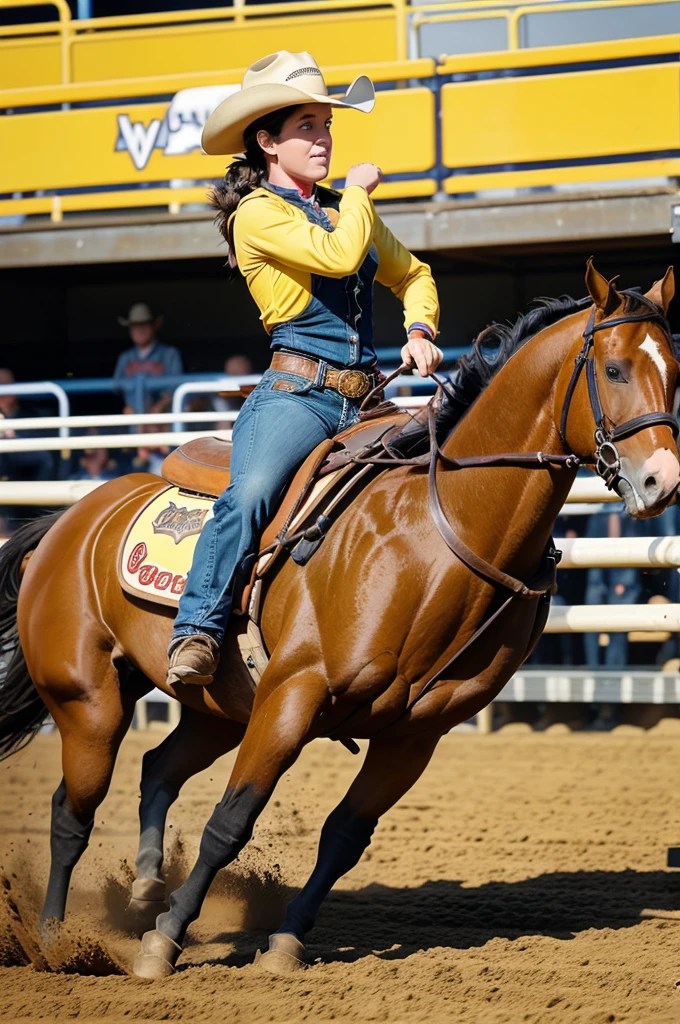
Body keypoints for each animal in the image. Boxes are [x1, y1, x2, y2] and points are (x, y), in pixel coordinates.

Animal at [0, 262, 675, 974]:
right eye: (616, 369)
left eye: (676, 370)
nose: (662, 480)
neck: (441, 534)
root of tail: (66, 523)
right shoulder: (293, 694)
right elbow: (229, 823)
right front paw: (165, 942)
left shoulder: (415, 735)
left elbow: (344, 837)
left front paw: (284, 943)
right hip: (90, 701)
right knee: (71, 812)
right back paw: (55, 940)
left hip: (218, 707)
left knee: (157, 768)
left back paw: (146, 886)